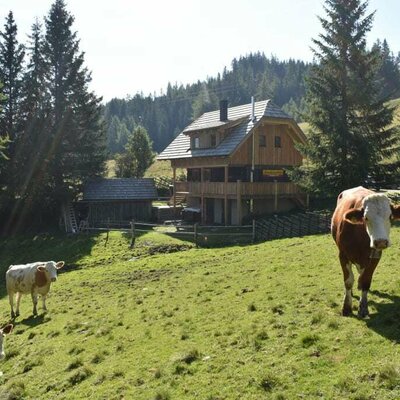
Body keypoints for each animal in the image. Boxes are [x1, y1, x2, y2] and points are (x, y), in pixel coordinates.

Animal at [332, 186, 400, 318]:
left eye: (390, 217)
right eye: (366, 217)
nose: (381, 242)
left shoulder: (375, 256)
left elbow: (365, 281)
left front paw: (363, 307)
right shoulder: (342, 255)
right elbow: (348, 281)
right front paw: (346, 307)